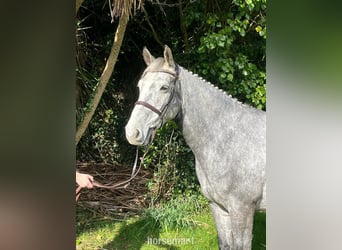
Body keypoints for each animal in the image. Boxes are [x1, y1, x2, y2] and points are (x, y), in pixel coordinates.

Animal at [124, 46, 266, 249]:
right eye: (139, 87)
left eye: (164, 87)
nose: (132, 133)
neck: (227, 139)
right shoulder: (218, 207)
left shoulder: (243, 210)